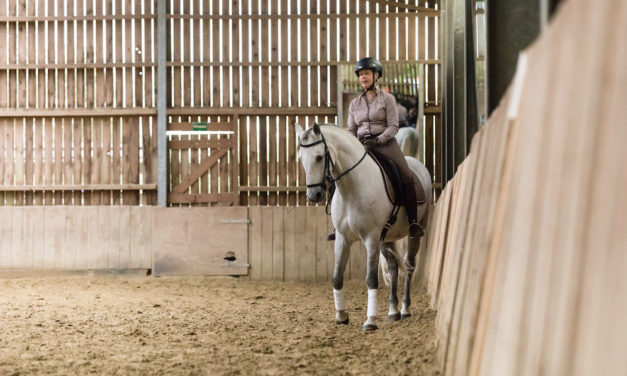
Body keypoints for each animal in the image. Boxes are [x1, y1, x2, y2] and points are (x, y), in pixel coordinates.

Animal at [294, 123, 432, 332]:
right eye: (301, 158)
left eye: (319, 157)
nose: (313, 195)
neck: (352, 187)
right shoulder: (342, 239)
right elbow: (337, 277)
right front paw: (341, 316)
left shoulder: (371, 239)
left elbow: (371, 279)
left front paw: (370, 321)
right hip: (387, 237)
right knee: (393, 268)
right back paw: (393, 311)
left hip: (413, 234)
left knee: (409, 265)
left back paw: (405, 308)